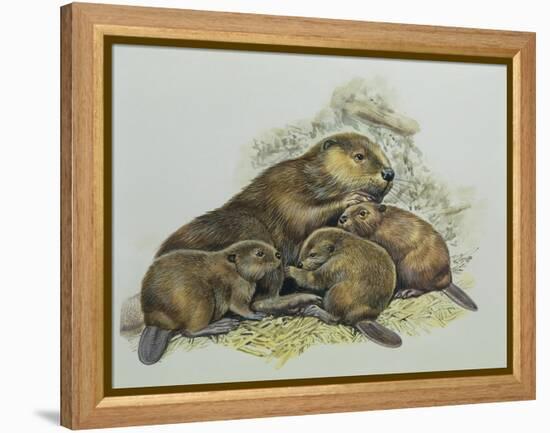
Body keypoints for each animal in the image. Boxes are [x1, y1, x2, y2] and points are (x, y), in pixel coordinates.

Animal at [157, 132, 394, 314]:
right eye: (359, 156)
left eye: (383, 154)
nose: (389, 173)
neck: (315, 179)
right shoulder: (284, 183)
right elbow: (301, 215)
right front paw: (352, 197)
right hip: (251, 229)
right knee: (260, 301)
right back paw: (301, 299)